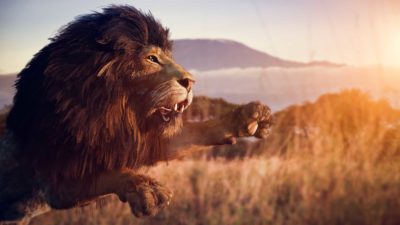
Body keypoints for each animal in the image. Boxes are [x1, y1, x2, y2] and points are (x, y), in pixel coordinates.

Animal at [0, 5, 272, 225]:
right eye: (152, 59)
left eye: (169, 57)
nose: (191, 82)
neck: (110, 110)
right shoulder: (55, 181)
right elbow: (107, 173)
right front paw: (144, 188)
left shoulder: (139, 140)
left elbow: (196, 131)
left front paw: (248, 117)